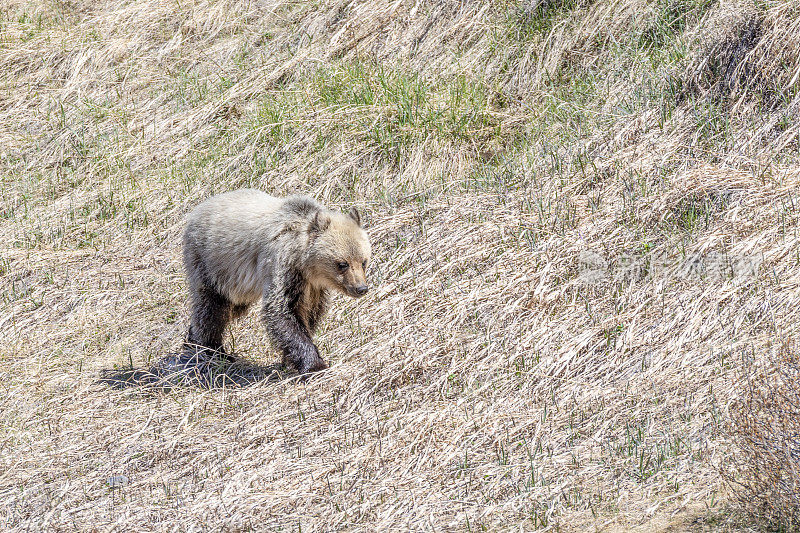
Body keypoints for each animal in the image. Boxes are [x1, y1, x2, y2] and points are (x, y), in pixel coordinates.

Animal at [180, 190, 370, 374]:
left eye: (363, 261)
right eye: (342, 264)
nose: (361, 288)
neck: (305, 264)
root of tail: (196, 210)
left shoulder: (312, 286)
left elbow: (310, 313)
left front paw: (291, 359)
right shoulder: (284, 267)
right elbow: (282, 311)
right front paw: (314, 365)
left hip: (236, 285)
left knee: (232, 307)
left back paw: (193, 340)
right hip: (211, 264)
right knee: (211, 308)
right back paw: (210, 349)